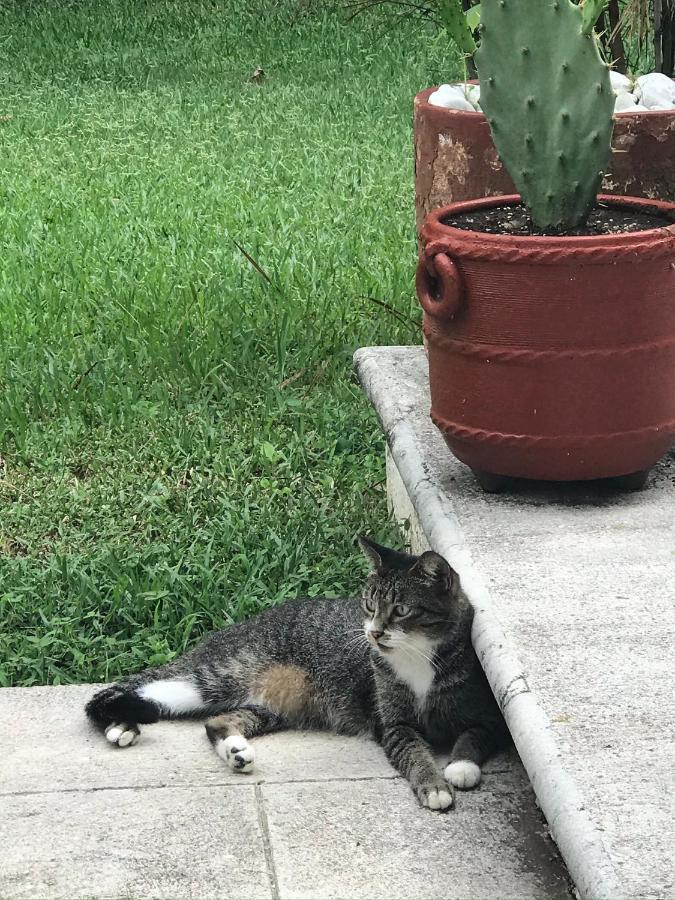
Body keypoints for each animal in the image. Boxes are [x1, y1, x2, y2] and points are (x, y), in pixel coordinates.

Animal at [84, 536, 508, 808]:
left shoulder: (490, 714)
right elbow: (416, 753)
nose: (373, 632)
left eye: (401, 610)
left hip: (269, 705)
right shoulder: (394, 725)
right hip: (215, 677)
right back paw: (121, 725)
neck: (419, 657)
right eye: (369, 605)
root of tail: (242, 624)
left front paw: (461, 766)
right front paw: (433, 785)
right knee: (119, 693)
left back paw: (234, 751)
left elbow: (474, 736)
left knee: (216, 722)